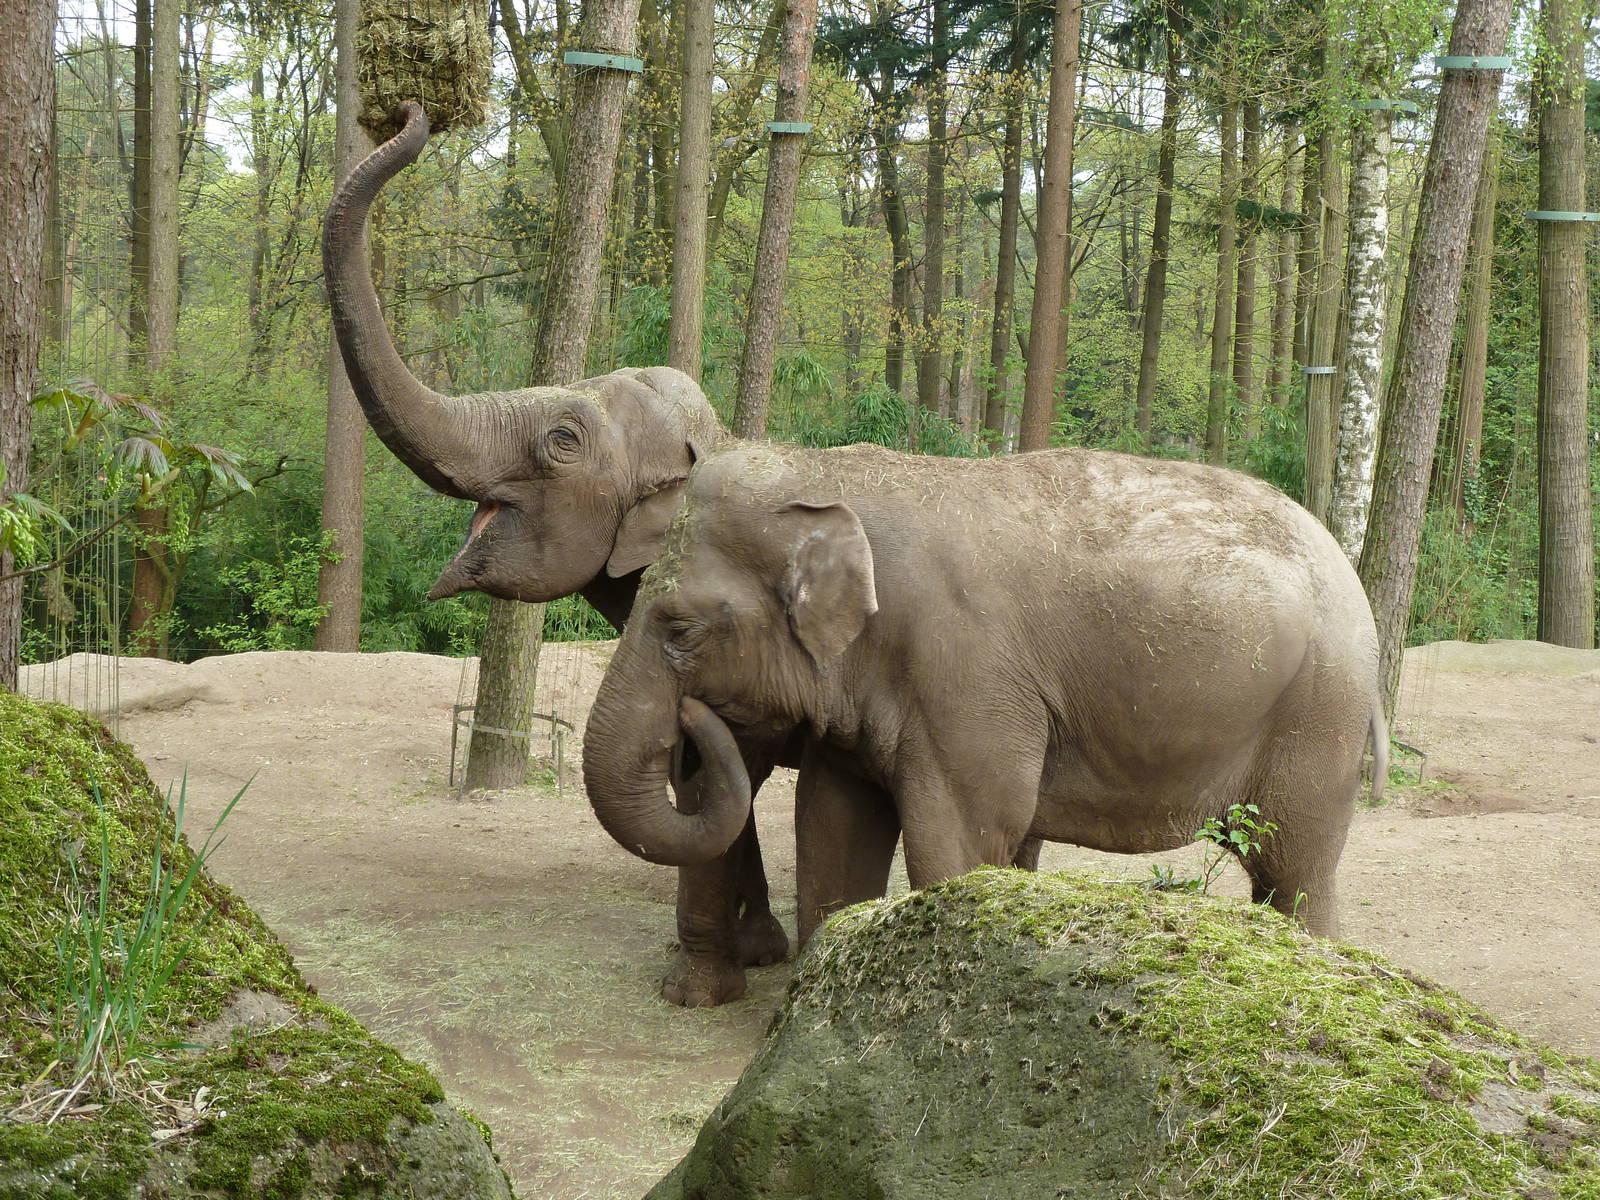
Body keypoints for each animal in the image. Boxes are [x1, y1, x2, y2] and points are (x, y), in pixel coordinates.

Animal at [582, 442, 1387, 945]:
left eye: (680, 629)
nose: (693, 717)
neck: (833, 477)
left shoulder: (965, 679)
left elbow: (965, 841)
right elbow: (835, 829)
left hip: (1318, 713)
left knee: (1294, 869)